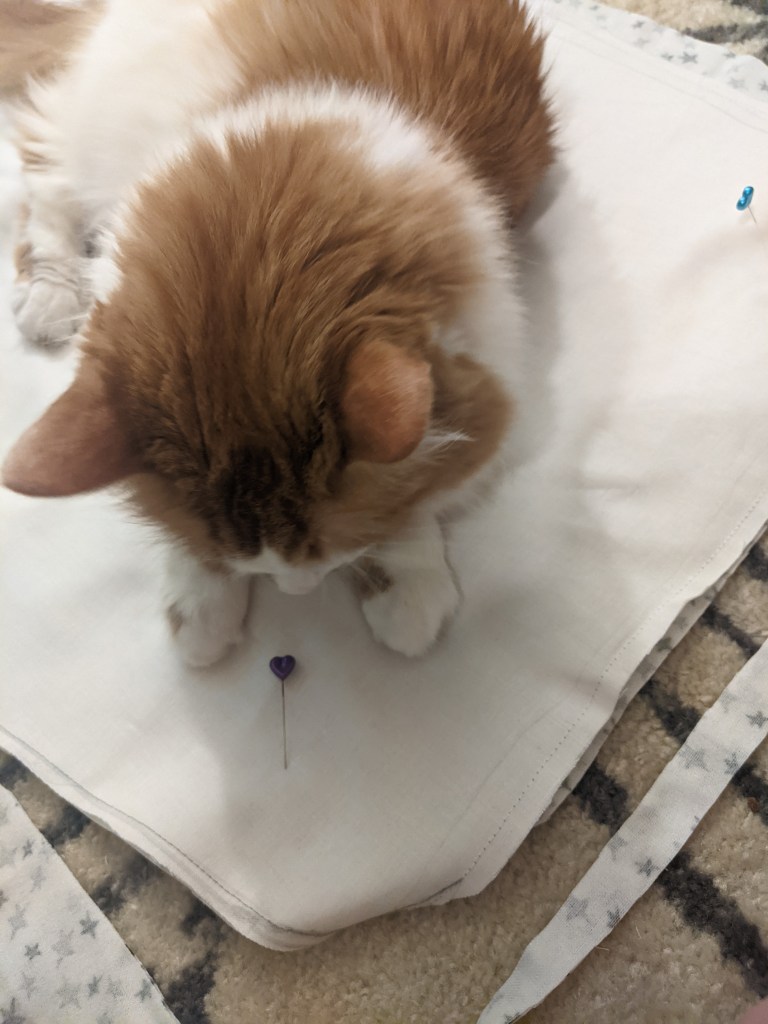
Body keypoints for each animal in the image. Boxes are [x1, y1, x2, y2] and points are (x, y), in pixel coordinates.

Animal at [1, 0, 554, 666]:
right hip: (93, 112)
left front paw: (405, 585)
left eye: (328, 554)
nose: (298, 592)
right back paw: (51, 296)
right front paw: (201, 605)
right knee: (46, 174)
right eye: (248, 564)